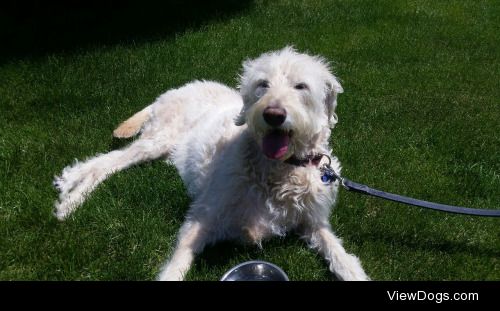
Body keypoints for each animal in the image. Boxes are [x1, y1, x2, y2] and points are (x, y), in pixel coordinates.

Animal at [54, 47, 370, 282]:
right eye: (262, 85)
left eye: (300, 86)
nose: (273, 115)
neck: (280, 168)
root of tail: (175, 89)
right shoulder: (205, 214)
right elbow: (180, 257)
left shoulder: (312, 222)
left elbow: (338, 252)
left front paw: (354, 272)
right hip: (157, 139)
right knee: (107, 162)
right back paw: (70, 197)